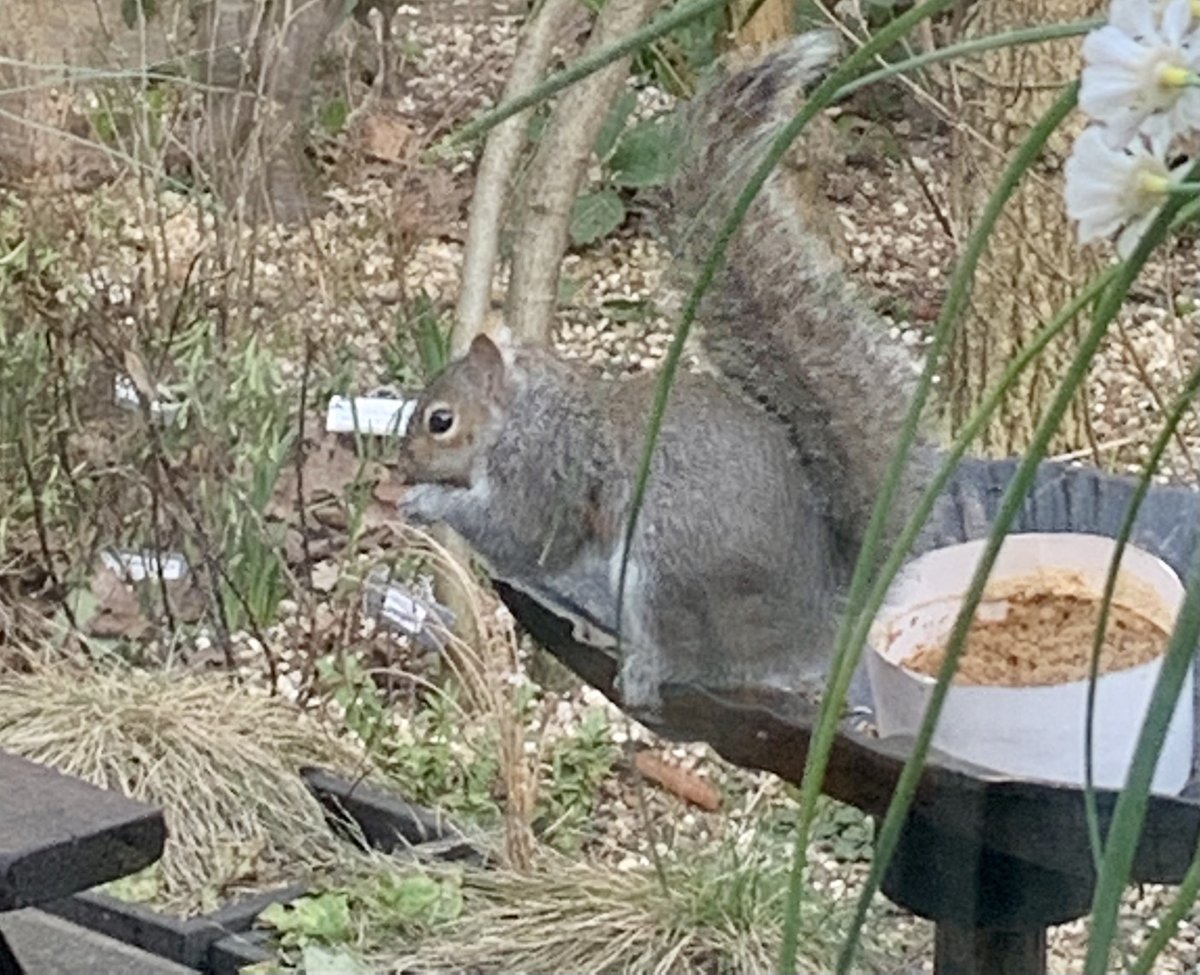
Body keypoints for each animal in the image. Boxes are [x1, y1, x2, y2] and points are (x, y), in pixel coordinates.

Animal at [394, 31, 925, 720]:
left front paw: (428, 501)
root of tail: (820, 623)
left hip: (666, 569)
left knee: (697, 663)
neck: (526, 411)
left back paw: (646, 668)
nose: (403, 464)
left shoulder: (543, 472)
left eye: (441, 420)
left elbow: (518, 533)